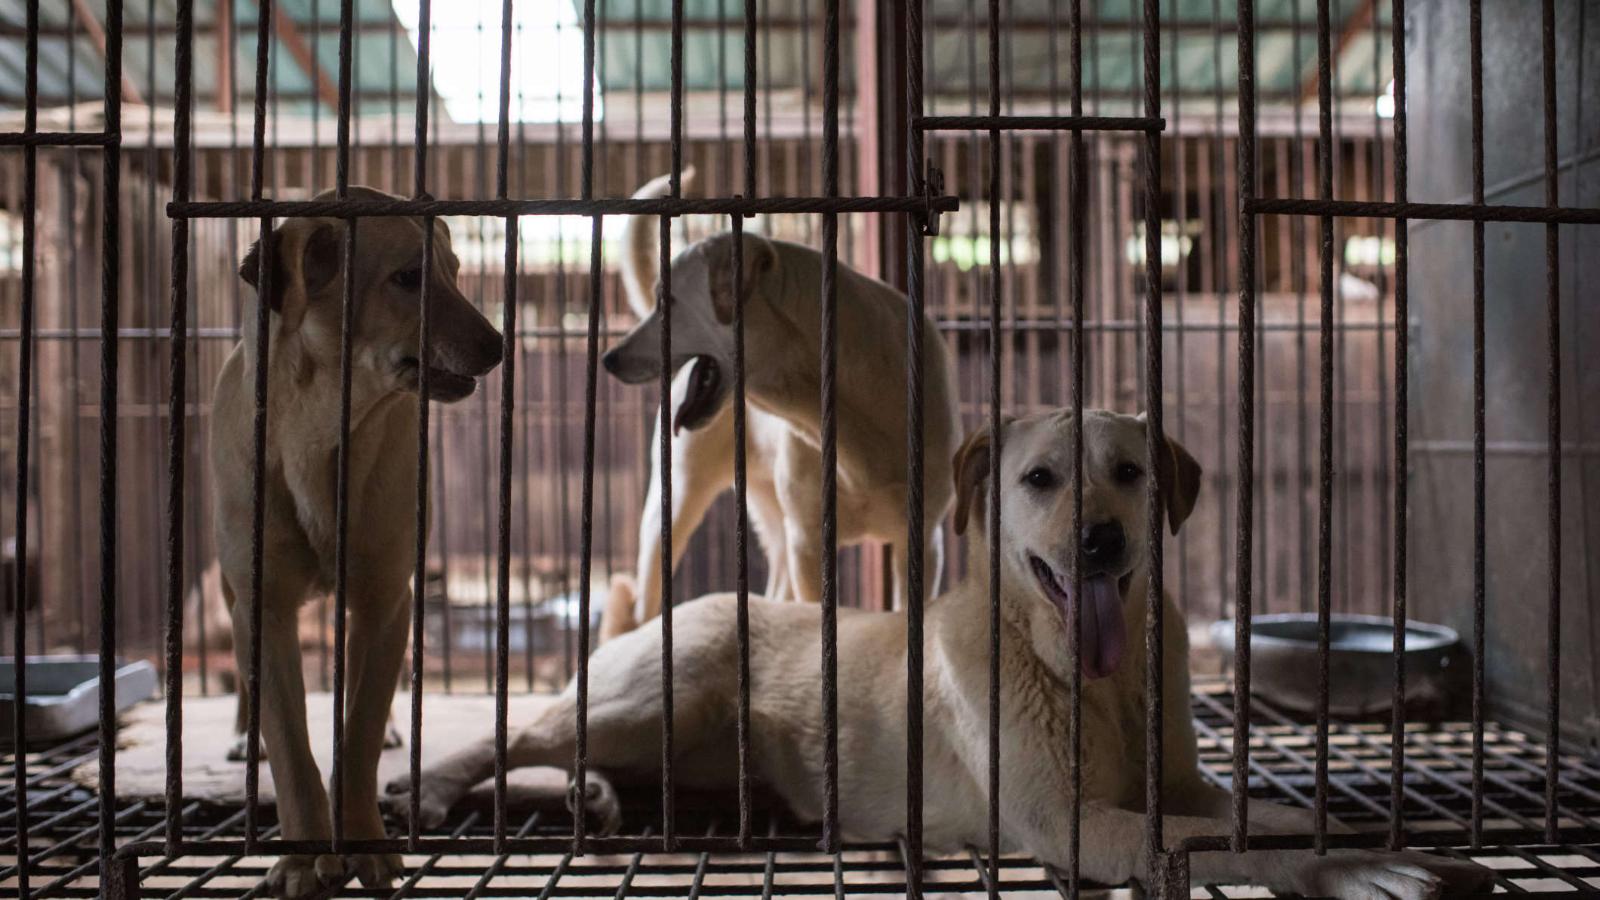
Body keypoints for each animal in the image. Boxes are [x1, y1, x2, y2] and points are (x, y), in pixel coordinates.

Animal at [212, 185, 496, 890]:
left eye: (454, 272)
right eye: (408, 278)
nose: (501, 345)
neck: (323, 434)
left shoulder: (384, 600)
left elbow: (359, 730)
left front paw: (364, 843)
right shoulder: (261, 604)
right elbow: (291, 749)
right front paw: (300, 858)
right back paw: (242, 735)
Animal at [384, 408, 1484, 896]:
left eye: (1129, 472)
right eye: (1039, 479)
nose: (1100, 541)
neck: (1099, 685)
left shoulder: (1180, 784)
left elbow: (1261, 813)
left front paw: (1361, 842)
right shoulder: (1074, 825)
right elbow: (1227, 842)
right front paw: (1360, 868)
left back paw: (599, 797)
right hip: (659, 693)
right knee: (513, 735)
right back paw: (430, 788)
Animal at [595, 169, 953, 637]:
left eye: (667, 300)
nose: (608, 359)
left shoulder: (924, 542)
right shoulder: (808, 545)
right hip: (671, 510)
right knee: (645, 604)